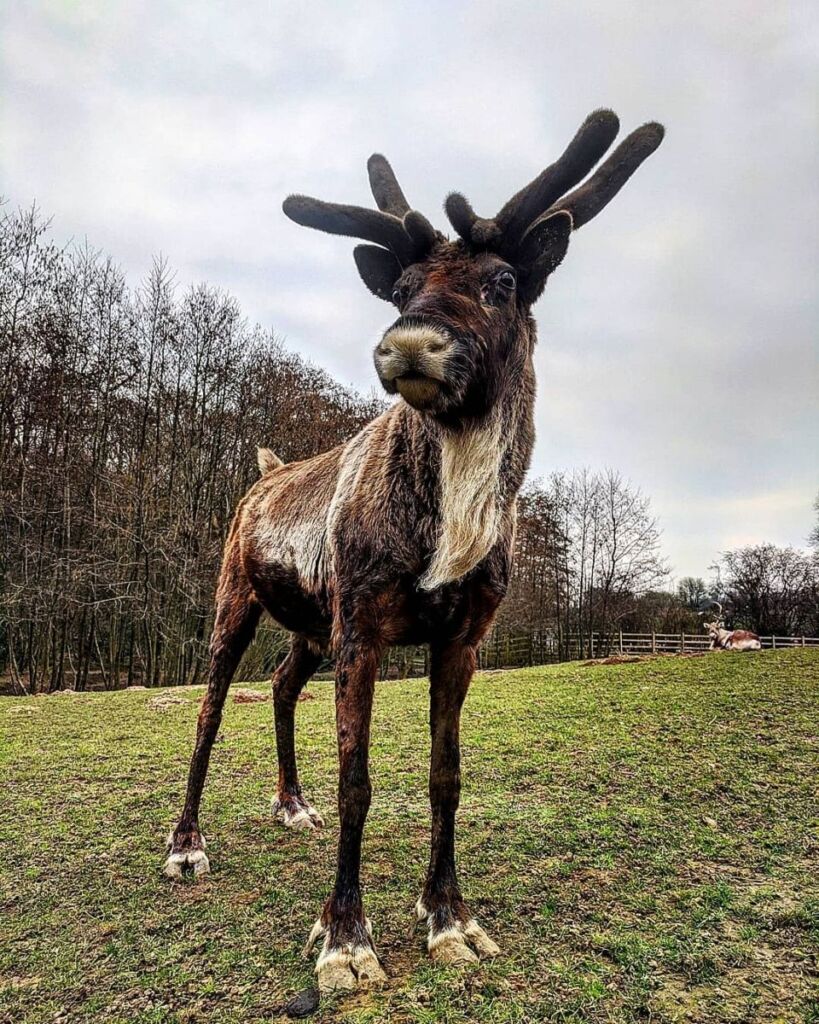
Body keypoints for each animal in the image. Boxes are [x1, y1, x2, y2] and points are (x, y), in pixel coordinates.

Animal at [163, 109, 665, 995]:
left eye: (503, 282)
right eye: (400, 288)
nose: (409, 343)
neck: (449, 524)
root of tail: (262, 474)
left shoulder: (459, 638)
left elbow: (445, 777)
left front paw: (450, 918)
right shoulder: (363, 626)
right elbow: (358, 781)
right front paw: (344, 938)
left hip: (309, 624)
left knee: (281, 684)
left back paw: (290, 803)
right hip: (237, 599)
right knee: (210, 708)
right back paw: (186, 844)